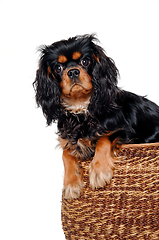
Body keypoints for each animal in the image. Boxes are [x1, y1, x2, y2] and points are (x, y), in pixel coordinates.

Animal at [33, 34, 159, 199]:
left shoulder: (126, 132)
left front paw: (99, 172)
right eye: (58, 68)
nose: (73, 72)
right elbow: (66, 154)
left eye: (85, 61)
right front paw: (71, 184)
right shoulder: (68, 140)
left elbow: (104, 139)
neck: (81, 107)